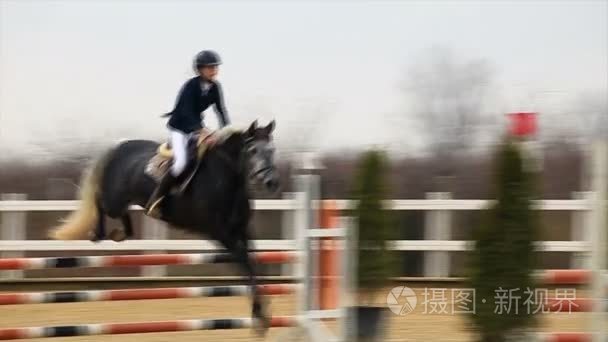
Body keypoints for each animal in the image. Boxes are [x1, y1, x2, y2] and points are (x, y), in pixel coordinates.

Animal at [47, 119, 280, 332]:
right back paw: (97, 233)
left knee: (123, 218)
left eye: (272, 150)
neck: (226, 179)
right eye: (252, 150)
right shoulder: (221, 234)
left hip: (125, 200)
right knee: (100, 203)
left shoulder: (242, 230)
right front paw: (260, 317)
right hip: (114, 199)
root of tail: (118, 148)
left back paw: (119, 233)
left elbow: (254, 263)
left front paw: (262, 312)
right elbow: (246, 264)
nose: (271, 183)